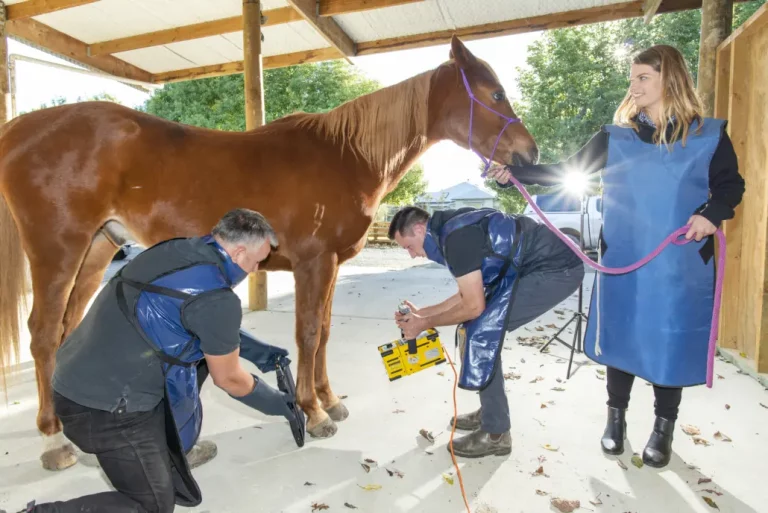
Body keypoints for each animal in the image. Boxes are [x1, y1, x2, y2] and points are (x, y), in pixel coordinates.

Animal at [0, 35, 540, 468]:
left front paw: (329, 399)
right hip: (58, 248)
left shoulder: (331, 266)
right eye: (495, 93)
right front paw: (314, 412)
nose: (529, 153)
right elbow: (307, 334)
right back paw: (54, 441)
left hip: (97, 247)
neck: (345, 155)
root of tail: (21, 129)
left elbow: (323, 333)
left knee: (66, 330)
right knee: (43, 334)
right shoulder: (313, 263)